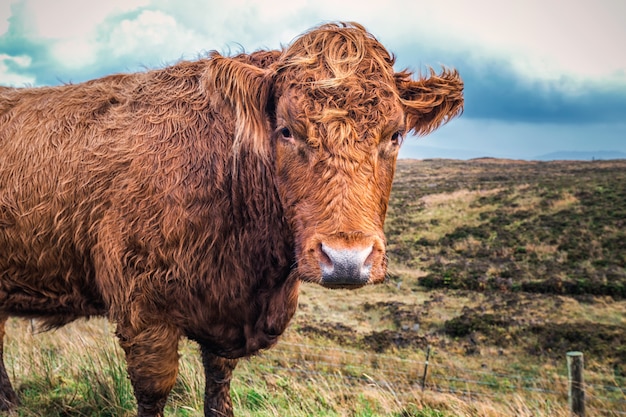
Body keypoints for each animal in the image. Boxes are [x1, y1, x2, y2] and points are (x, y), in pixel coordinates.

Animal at [0, 22, 458, 412]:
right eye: (286, 130)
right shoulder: (142, 311)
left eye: (394, 135)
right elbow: (154, 391)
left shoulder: (226, 320)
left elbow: (218, 388)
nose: (347, 260)